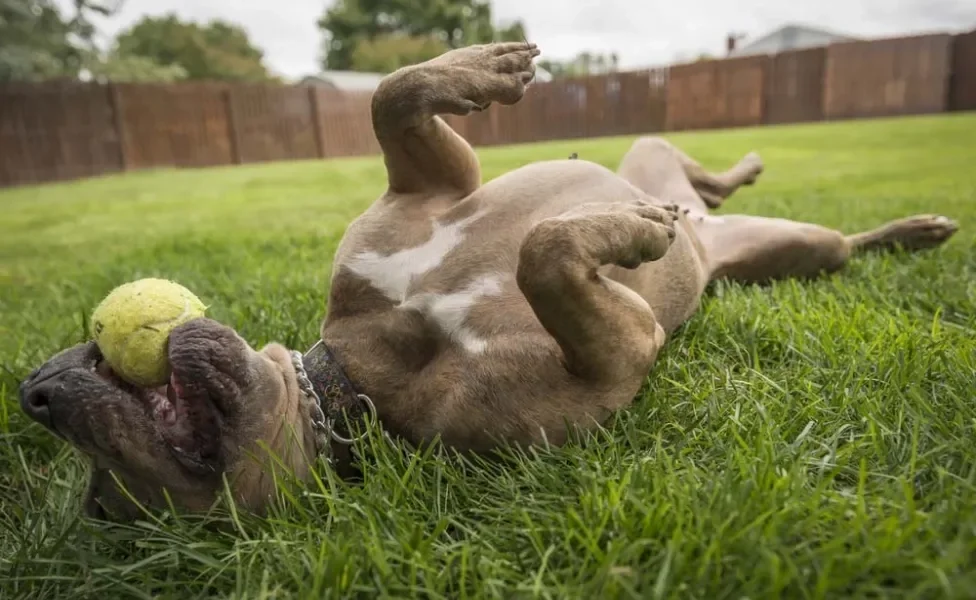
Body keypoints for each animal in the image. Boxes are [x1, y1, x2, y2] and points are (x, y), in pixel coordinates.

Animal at [17, 41, 960, 520]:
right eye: (106, 504)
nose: (37, 392)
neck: (358, 371)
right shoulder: (618, 353)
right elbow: (544, 254)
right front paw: (628, 234)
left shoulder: (427, 189)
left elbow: (394, 95)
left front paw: (481, 68)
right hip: (797, 254)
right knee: (819, 239)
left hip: (686, 174)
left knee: (715, 182)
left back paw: (774, 182)